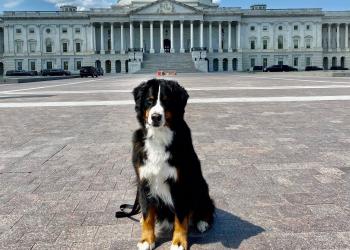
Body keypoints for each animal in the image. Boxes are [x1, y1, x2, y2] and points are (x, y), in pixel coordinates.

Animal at [131, 78, 213, 250]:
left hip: (201, 187)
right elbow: (148, 215)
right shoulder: (144, 181)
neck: (159, 136)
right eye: (149, 101)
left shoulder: (180, 184)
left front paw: (179, 242)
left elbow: (181, 218)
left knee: (206, 208)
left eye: (166, 102)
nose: (155, 117)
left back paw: (202, 222)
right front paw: (146, 240)